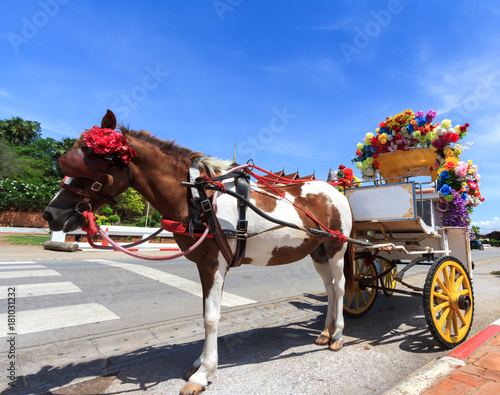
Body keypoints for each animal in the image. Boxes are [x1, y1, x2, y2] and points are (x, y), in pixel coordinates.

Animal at [44, 109, 356, 395]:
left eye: (93, 163)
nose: (50, 215)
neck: (196, 198)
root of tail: (335, 190)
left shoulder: (213, 264)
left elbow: (211, 318)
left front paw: (203, 373)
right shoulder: (202, 264)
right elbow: (204, 311)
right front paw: (199, 363)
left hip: (337, 245)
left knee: (340, 287)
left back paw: (339, 335)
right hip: (318, 251)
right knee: (329, 287)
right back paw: (326, 331)